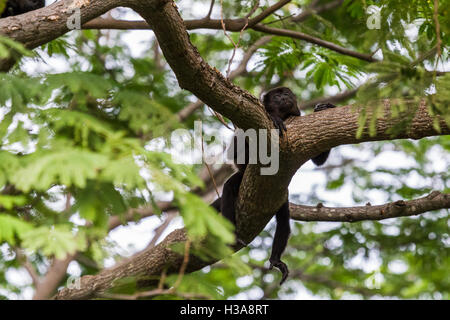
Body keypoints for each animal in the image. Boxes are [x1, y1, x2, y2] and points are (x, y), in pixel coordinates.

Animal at [213, 86, 336, 284]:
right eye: (277, 95)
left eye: (286, 94)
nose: (284, 96)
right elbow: (234, 151)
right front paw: (274, 118)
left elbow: (318, 160)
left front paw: (324, 107)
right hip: (241, 178)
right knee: (229, 188)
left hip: (279, 194)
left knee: (284, 220)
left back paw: (276, 259)